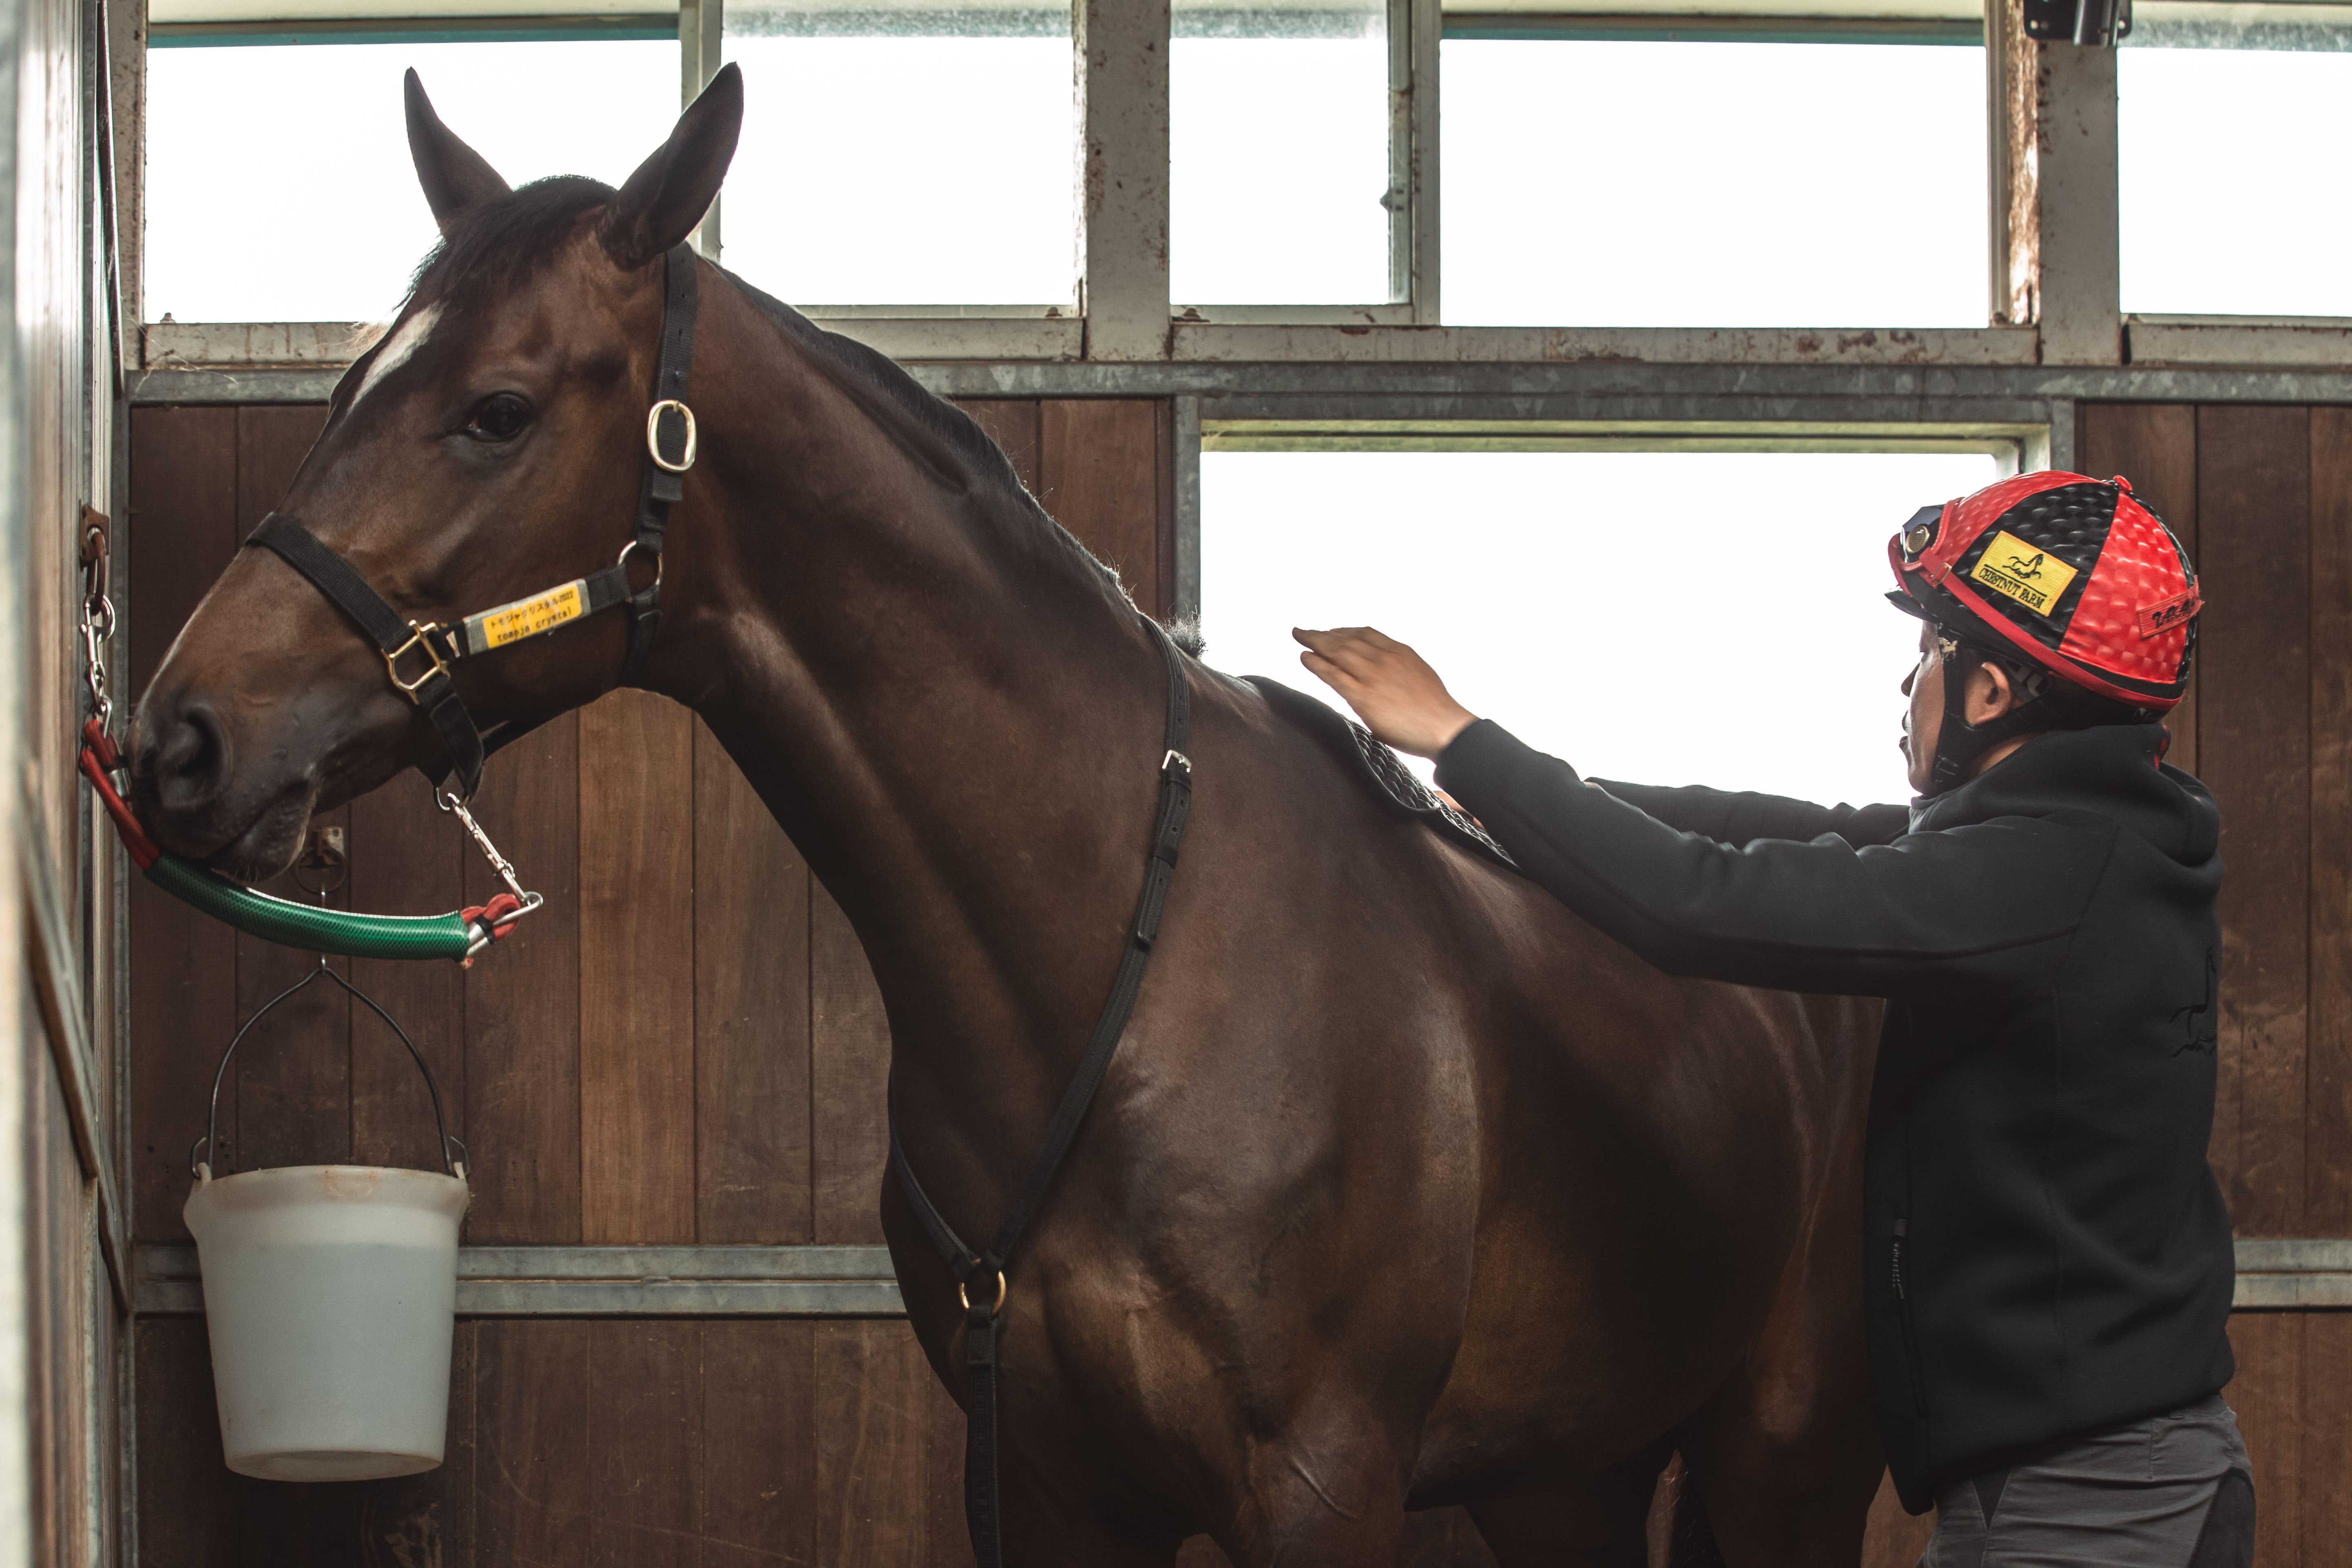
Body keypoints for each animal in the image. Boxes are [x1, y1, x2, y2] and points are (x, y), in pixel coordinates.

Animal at [128, 67, 1890, 1567]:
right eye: (345, 389)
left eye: (493, 410)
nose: (178, 742)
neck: (1119, 964)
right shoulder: (1049, 1483)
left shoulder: (1320, 1489)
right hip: (1567, 1474)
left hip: (1784, 1465)